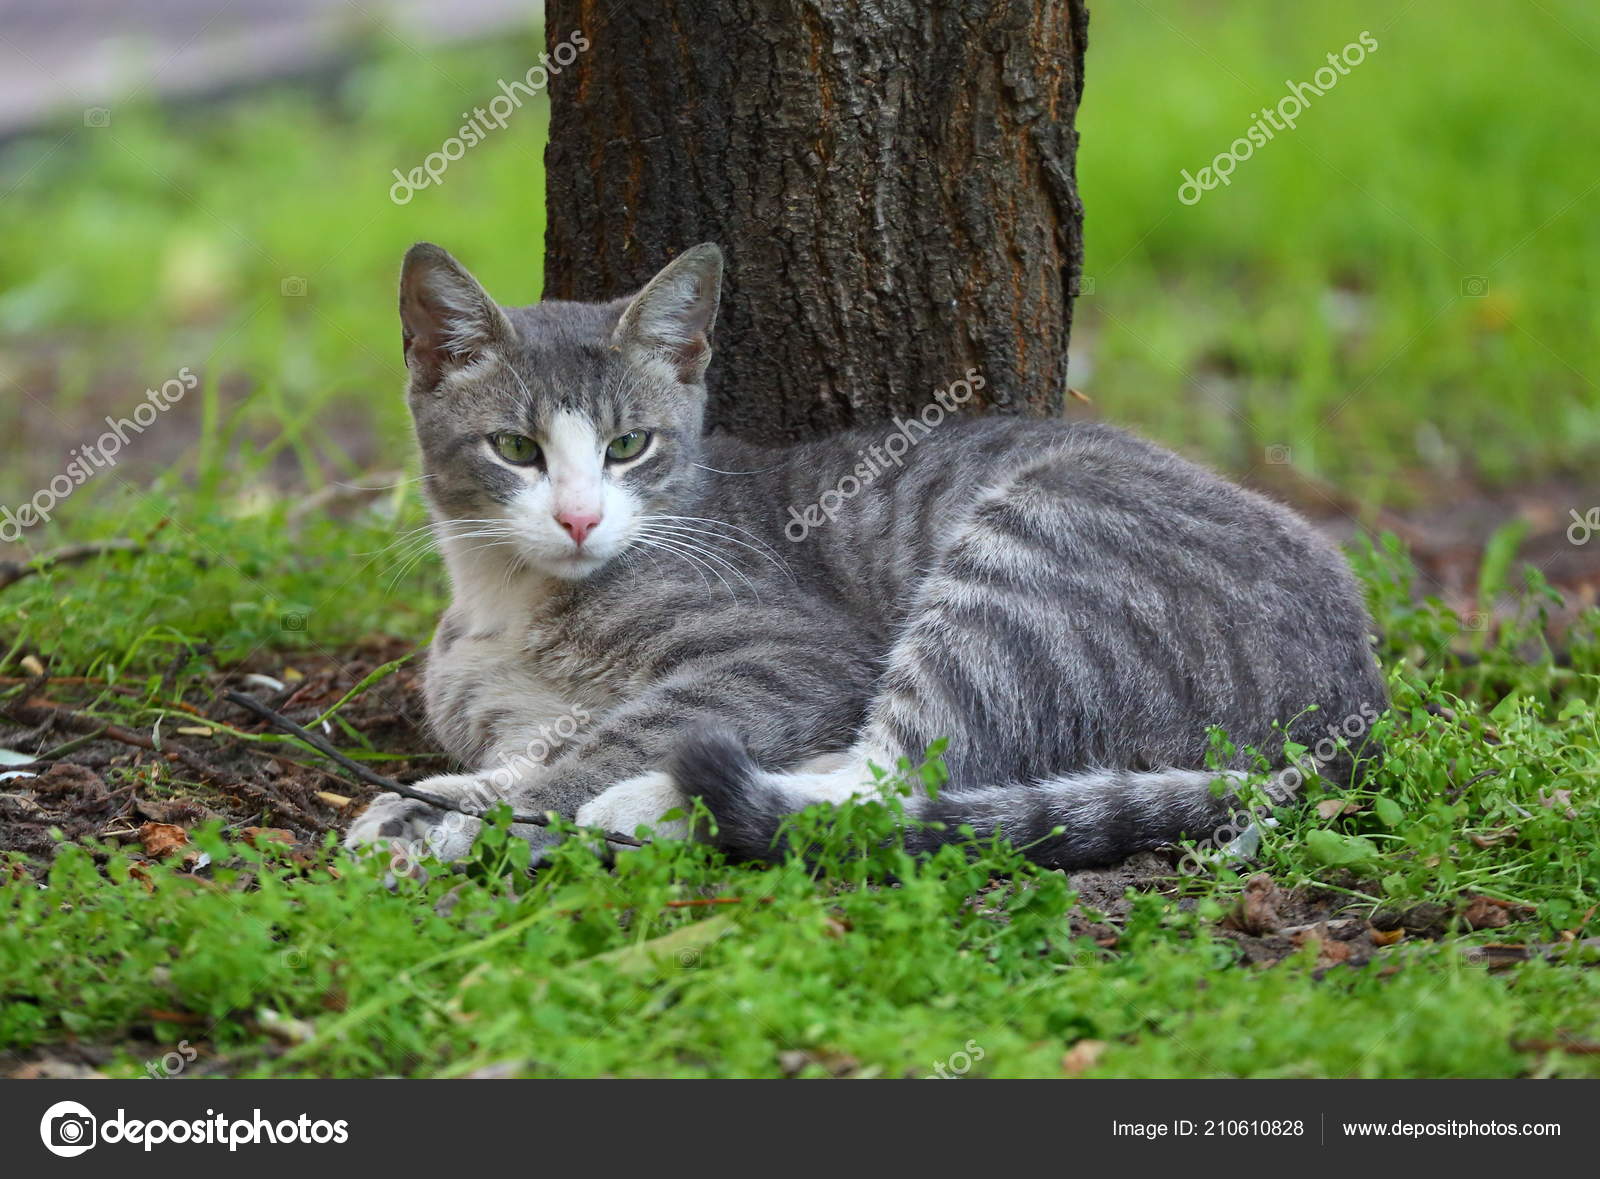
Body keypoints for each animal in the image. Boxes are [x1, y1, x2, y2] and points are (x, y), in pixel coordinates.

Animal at [350, 241, 1388, 863]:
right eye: (516, 449)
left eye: (628, 445)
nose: (576, 519)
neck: (508, 597)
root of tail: (1361, 706)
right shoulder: (508, 707)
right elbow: (550, 739)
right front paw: (435, 797)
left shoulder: (793, 653)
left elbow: (619, 731)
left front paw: (463, 816)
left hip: (1029, 562)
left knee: (887, 783)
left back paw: (657, 804)